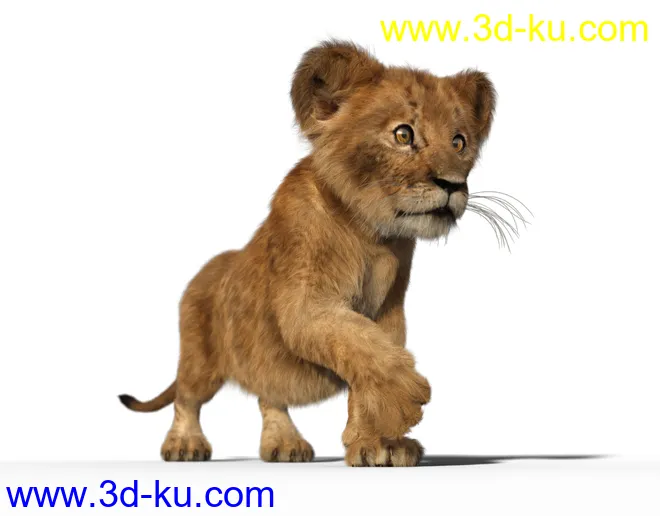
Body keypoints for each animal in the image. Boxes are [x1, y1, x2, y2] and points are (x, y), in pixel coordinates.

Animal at [119, 40, 497, 467]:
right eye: (403, 134)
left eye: (459, 142)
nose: (453, 185)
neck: (372, 237)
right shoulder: (303, 304)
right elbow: (359, 341)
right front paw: (402, 401)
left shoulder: (389, 315)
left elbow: (367, 361)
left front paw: (379, 443)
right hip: (200, 357)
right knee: (187, 397)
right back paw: (185, 445)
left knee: (270, 395)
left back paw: (285, 444)